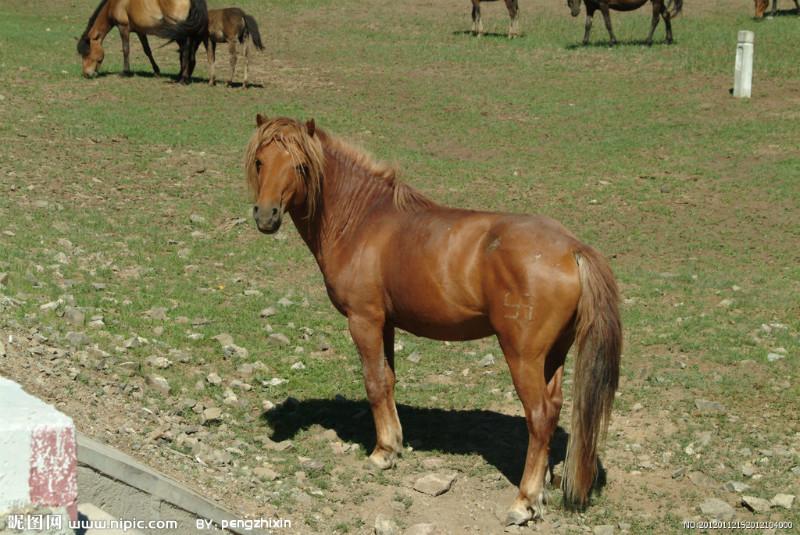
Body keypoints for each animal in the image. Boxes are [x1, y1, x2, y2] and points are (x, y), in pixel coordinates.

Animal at [77, 0, 208, 82]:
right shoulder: (140, 32)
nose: (86, 74)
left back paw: (183, 78)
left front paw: (125, 72)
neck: (115, 4)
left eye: (87, 53)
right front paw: (156, 71)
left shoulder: (123, 27)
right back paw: (183, 75)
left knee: (185, 51)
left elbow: (126, 50)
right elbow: (147, 50)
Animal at [247, 116, 620, 524]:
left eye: (300, 166)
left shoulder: (364, 321)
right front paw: (394, 444)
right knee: (553, 408)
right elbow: (388, 381)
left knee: (539, 416)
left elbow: (373, 382)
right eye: (261, 162)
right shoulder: (386, 323)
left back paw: (525, 501)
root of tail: (573, 248)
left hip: (523, 356)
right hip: (553, 355)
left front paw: (381, 454)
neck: (363, 221)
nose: (266, 216)